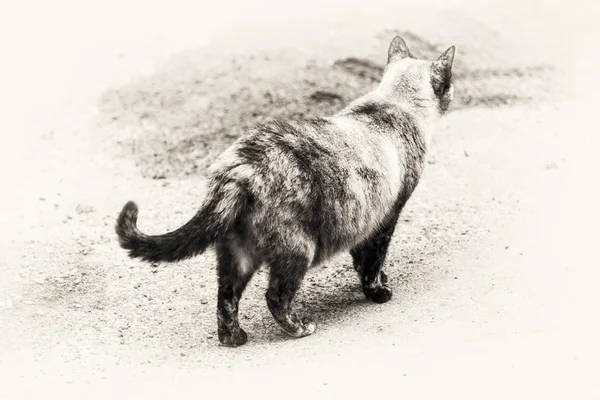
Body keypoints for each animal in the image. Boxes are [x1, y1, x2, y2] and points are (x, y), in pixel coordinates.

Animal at [116, 36, 454, 346]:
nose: (454, 92)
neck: (393, 103)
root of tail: (241, 166)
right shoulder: (386, 219)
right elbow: (372, 263)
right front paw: (379, 292)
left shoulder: (368, 220)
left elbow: (364, 261)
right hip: (298, 250)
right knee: (275, 296)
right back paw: (299, 328)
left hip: (238, 253)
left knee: (226, 296)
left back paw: (234, 338)